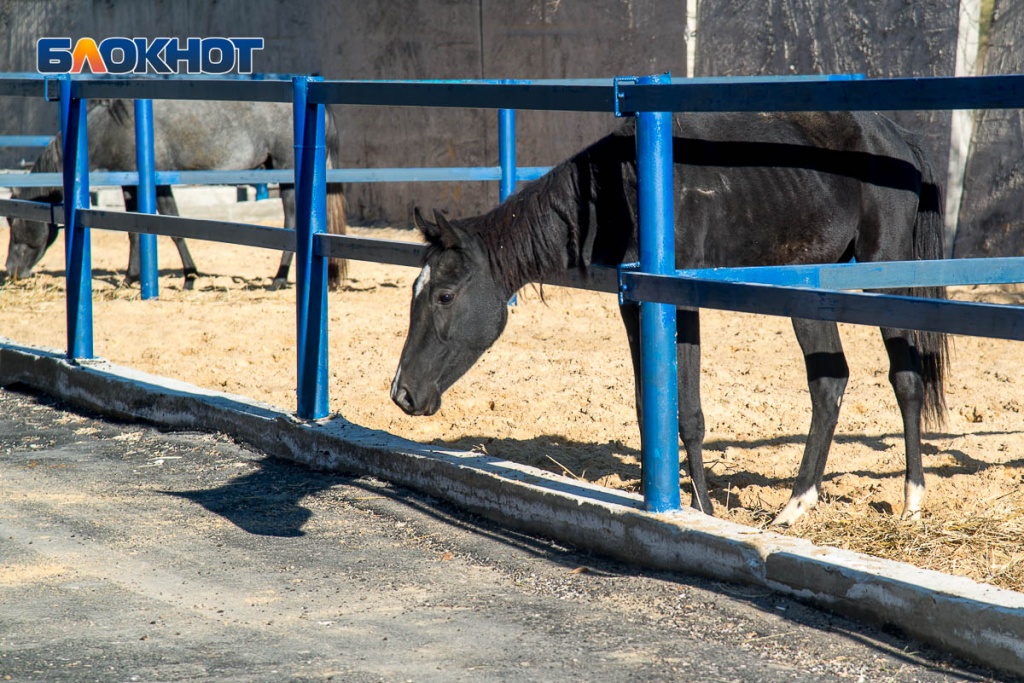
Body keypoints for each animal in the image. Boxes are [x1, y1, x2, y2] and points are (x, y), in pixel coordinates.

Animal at [3, 97, 348, 290]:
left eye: (16, 220)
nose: (11, 271)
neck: (116, 125)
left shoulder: (155, 183)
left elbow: (173, 227)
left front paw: (190, 276)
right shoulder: (131, 184)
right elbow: (133, 230)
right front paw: (131, 278)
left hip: (285, 170)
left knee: (291, 222)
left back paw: (279, 279)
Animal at [387, 113, 946, 528]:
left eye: (444, 295)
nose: (402, 394)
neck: (621, 188)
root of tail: (899, 139)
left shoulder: (682, 304)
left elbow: (689, 413)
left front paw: (701, 509)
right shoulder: (634, 305)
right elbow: (648, 407)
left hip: (888, 278)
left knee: (906, 380)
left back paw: (912, 502)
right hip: (808, 291)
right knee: (830, 384)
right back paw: (795, 506)